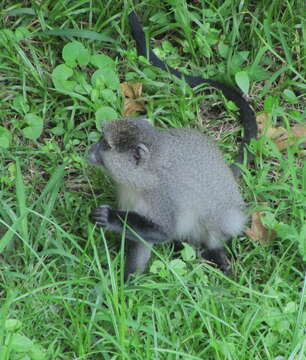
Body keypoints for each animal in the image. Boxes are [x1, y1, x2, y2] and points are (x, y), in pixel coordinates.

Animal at [87, 11, 256, 282]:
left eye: (106, 144)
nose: (91, 149)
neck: (143, 179)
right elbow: (142, 242)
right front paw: (127, 282)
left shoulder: (164, 198)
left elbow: (163, 231)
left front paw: (110, 217)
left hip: (223, 217)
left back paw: (217, 254)